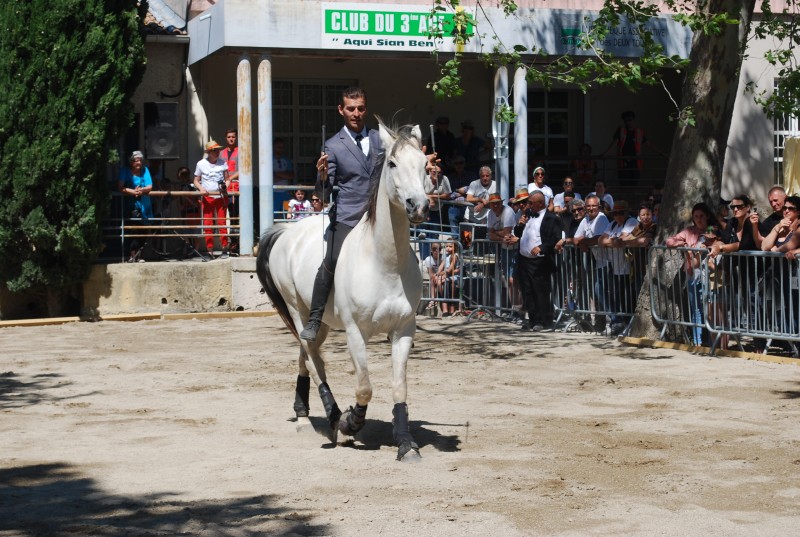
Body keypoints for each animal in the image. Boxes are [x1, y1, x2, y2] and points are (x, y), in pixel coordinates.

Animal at [256, 121, 432, 460]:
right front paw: (352, 422)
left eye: (425, 165)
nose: (418, 206)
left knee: (307, 355)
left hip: (321, 322)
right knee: (315, 362)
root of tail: (287, 231)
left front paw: (406, 444)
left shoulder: (404, 330)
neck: (385, 262)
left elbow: (399, 386)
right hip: (298, 311)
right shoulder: (355, 333)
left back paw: (303, 413)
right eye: (392, 164)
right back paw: (334, 418)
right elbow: (364, 387)